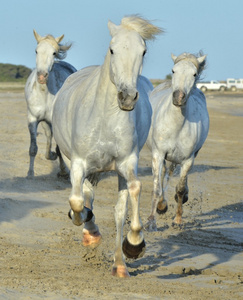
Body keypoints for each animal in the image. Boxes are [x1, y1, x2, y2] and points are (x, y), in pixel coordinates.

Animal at [24, 29, 76, 178]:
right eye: (36, 51)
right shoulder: (33, 119)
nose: (42, 76)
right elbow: (33, 148)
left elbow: (59, 149)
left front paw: (63, 170)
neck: (44, 93)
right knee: (48, 136)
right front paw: (30, 174)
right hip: (46, 123)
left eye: (54, 53)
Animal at [145, 51, 210, 231]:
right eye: (173, 71)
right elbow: (156, 188)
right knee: (162, 177)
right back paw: (161, 206)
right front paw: (151, 221)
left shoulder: (188, 159)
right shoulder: (158, 154)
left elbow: (180, 189)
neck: (176, 124)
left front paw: (178, 220)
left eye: (194, 74)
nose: (178, 97)